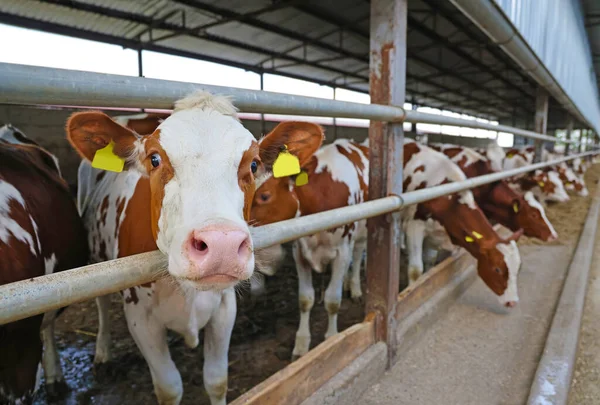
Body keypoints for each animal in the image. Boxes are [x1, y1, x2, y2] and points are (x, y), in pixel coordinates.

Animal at [65, 91, 324, 404]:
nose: (222, 245)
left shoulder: (224, 308)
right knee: (101, 301)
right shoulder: (140, 317)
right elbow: (169, 387)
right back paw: (102, 351)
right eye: (154, 159)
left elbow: (216, 380)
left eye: (253, 165)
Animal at [248, 136, 366, 356]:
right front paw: (301, 345)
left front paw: (332, 339)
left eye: (265, 196)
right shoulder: (300, 252)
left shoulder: (342, 251)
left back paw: (354, 288)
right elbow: (305, 299)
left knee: (358, 252)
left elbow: (332, 300)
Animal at [400, 140, 524, 306]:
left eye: (518, 268)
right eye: (497, 269)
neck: (449, 201)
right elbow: (416, 270)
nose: (513, 302)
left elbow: (435, 261)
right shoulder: (415, 226)